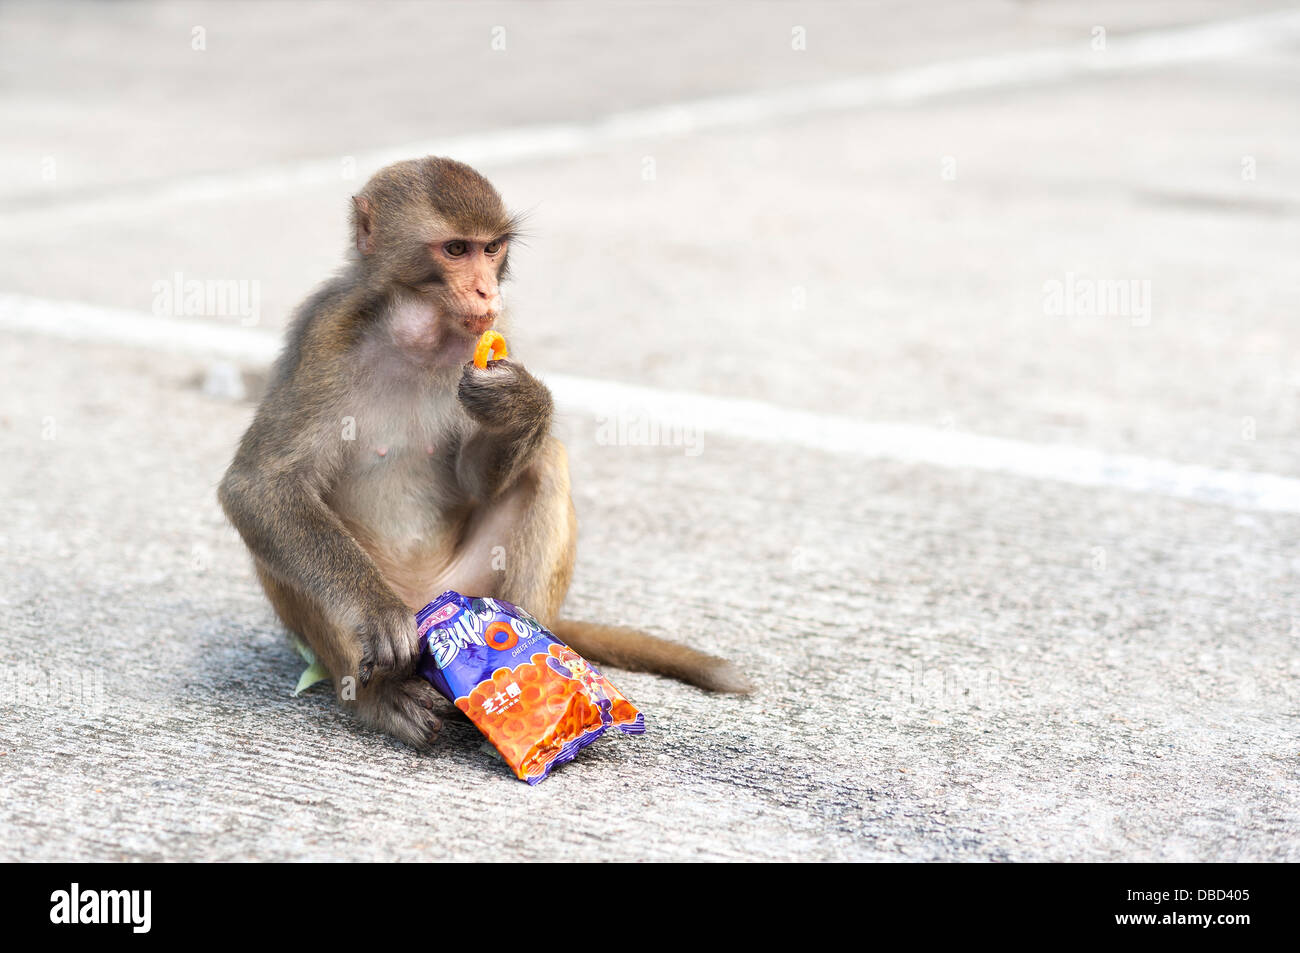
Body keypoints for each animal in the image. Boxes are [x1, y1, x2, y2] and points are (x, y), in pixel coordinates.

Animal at [219, 156, 754, 748]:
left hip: (474, 582)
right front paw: (375, 612)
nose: (485, 292)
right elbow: (261, 484)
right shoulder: (324, 335)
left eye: (492, 248)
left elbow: (478, 480)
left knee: (545, 463)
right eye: (456, 249)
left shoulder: (496, 336)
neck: (417, 334)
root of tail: (429, 600)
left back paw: (534, 657)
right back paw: (381, 698)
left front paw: (522, 404)